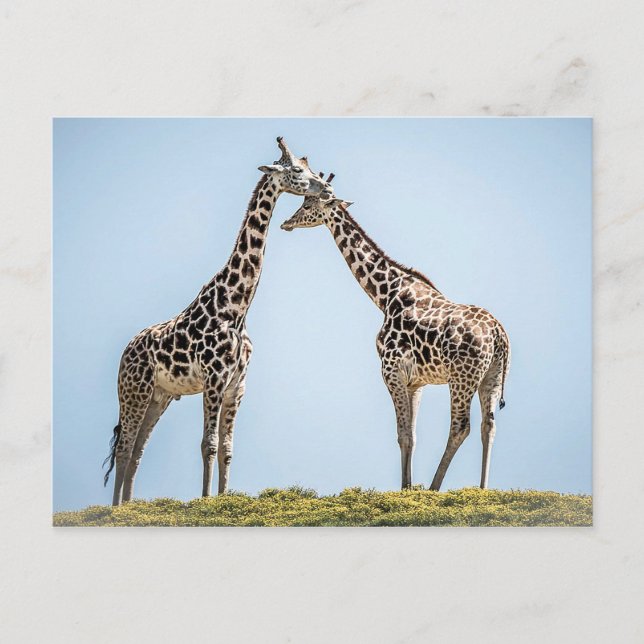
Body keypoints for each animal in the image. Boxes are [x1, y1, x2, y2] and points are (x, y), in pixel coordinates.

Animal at [104, 138, 332, 506]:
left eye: (312, 169)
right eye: (297, 171)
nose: (326, 188)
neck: (237, 307)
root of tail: (125, 352)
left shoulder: (237, 385)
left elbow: (227, 448)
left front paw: (223, 499)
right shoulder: (214, 378)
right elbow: (207, 445)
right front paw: (205, 500)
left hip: (159, 395)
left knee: (138, 449)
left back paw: (128, 505)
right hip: (133, 390)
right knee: (124, 447)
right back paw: (113, 510)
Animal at [280, 183, 510, 491]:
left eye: (307, 206)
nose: (286, 223)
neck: (385, 294)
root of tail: (499, 335)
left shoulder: (390, 370)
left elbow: (402, 433)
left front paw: (406, 489)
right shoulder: (416, 381)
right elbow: (411, 436)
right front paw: (407, 487)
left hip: (462, 376)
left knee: (461, 426)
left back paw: (435, 488)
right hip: (491, 376)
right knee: (489, 425)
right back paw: (483, 490)